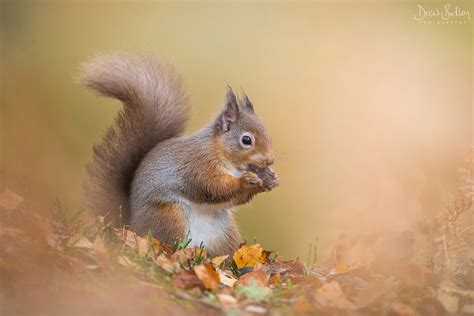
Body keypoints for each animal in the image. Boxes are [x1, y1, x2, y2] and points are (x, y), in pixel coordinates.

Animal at [78, 54, 278, 256]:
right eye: (246, 140)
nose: (270, 160)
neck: (225, 157)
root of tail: (132, 224)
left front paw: (270, 179)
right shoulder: (198, 165)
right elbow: (213, 187)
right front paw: (246, 181)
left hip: (224, 233)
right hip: (170, 216)